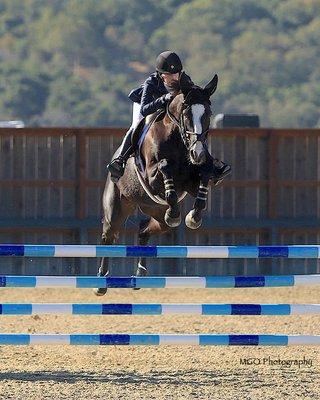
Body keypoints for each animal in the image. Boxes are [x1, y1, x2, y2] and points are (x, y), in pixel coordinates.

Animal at [94, 73, 220, 296]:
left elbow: (203, 178)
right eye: (186, 114)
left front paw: (193, 217)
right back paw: (101, 282)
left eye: (209, 113)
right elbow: (164, 167)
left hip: (157, 214)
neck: (178, 140)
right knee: (108, 236)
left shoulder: (190, 182)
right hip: (116, 207)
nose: (198, 153)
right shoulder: (152, 177)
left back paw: (140, 272)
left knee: (146, 229)